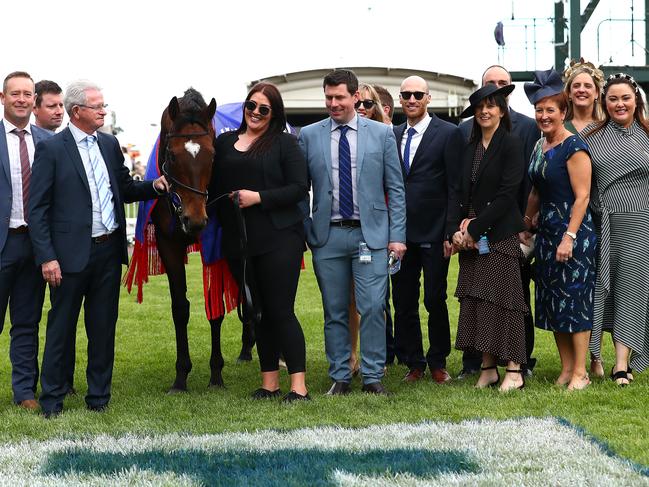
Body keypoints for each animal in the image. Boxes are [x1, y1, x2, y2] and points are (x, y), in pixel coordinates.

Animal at [152, 88, 253, 392]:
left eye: (212, 155)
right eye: (172, 156)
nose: (195, 220)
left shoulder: (216, 243)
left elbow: (215, 309)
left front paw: (216, 374)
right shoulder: (168, 244)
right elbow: (180, 308)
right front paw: (181, 376)